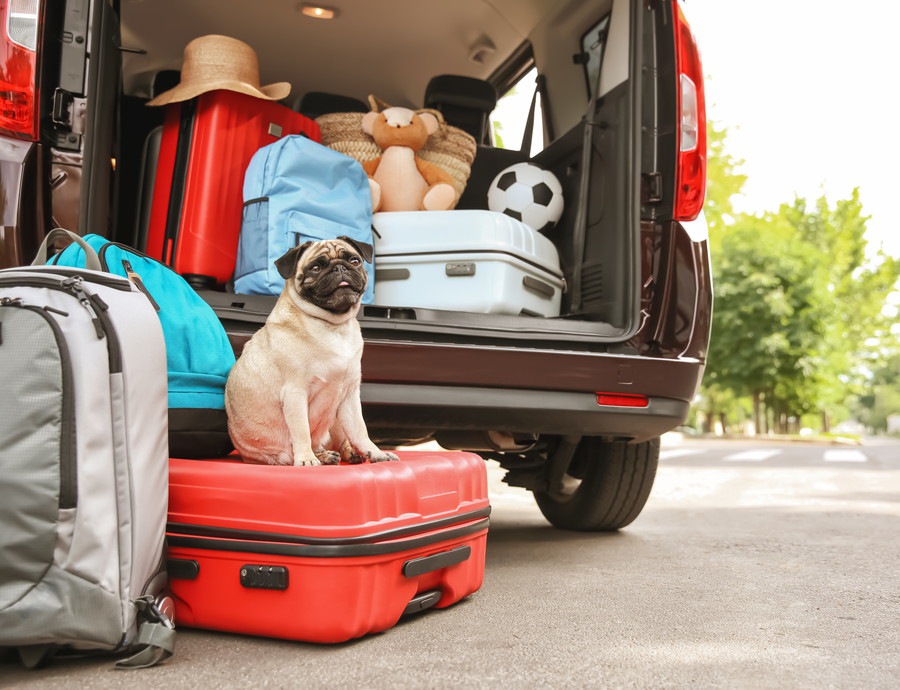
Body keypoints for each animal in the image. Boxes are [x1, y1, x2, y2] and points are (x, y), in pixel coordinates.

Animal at [225, 234, 398, 464]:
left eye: (354, 261)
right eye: (316, 267)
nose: (339, 267)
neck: (334, 327)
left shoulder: (349, 396)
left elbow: (360, 430)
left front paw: (376, 453)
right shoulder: (295, 394)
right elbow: (302, 431)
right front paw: (306, 458)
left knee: (342, 440)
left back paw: (346, 453)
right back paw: (320, 455)